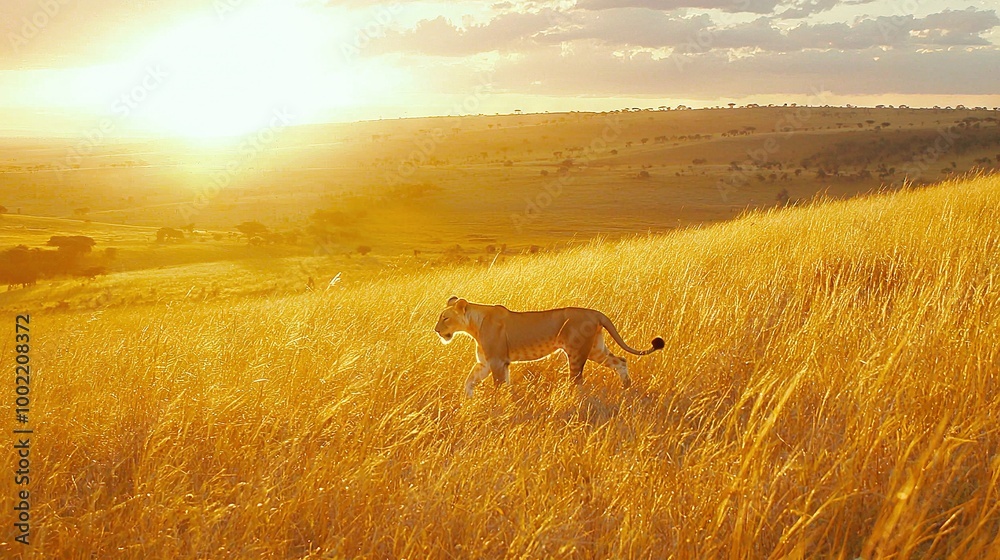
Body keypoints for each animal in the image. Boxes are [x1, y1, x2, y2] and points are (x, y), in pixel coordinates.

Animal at [435, 296, 664, 397]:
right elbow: (469, 381)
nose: (436, 330)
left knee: (576, 380)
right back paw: (626, 388)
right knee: (621, 361)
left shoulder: (497, 361)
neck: (473, 325)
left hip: (576, 352)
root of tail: (596, 313)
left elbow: (498, 386)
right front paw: (468, 400)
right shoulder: (486, 363)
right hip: (596, 350)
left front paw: (497, 407)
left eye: (445, 318)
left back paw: (571, 400)